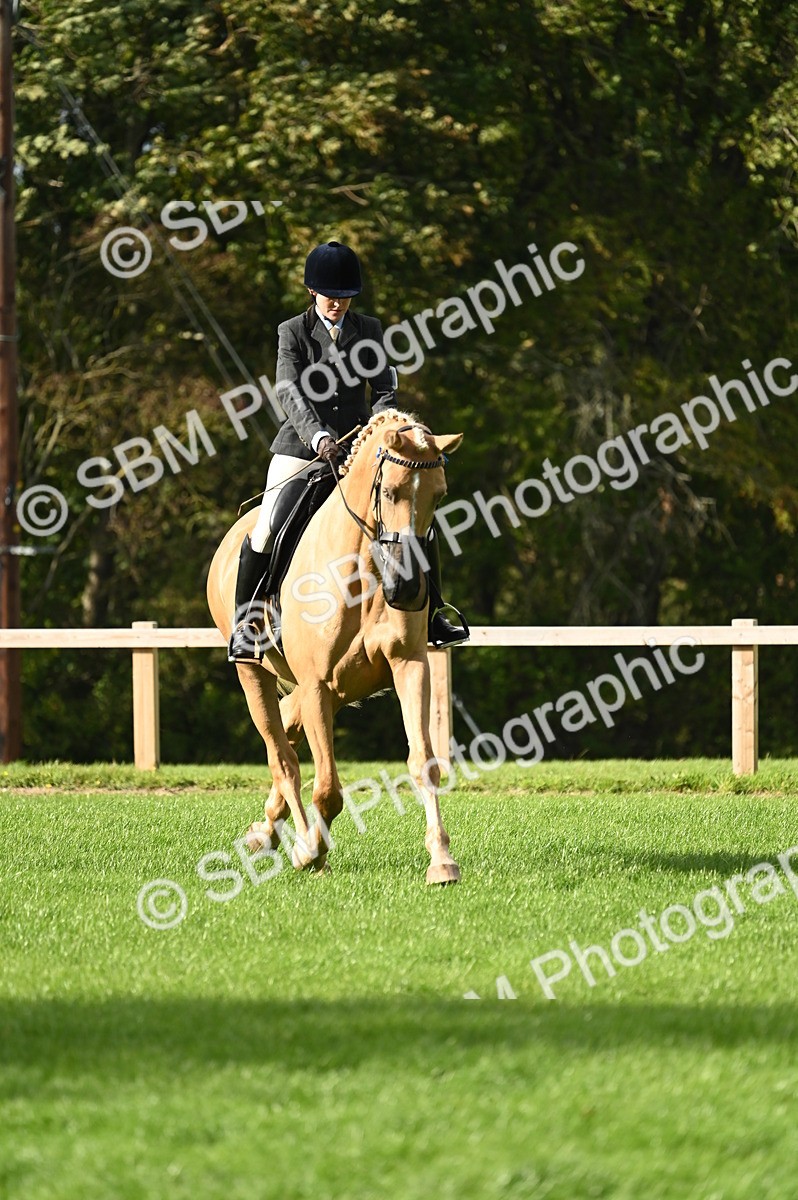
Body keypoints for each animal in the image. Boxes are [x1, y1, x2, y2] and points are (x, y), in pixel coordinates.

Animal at [206, 409, 464, 885]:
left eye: (439, 496)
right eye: (390, 491)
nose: (408, 589)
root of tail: (234, 534)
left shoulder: (409, 665)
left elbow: (424, 762)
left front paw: (441, 860)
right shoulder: (316, 685)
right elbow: (326, 789)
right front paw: (310, 852)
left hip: (344, 687)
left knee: (288, 731)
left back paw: (264, 832)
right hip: (254, 672)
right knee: (284, 759)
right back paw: (294, 842)